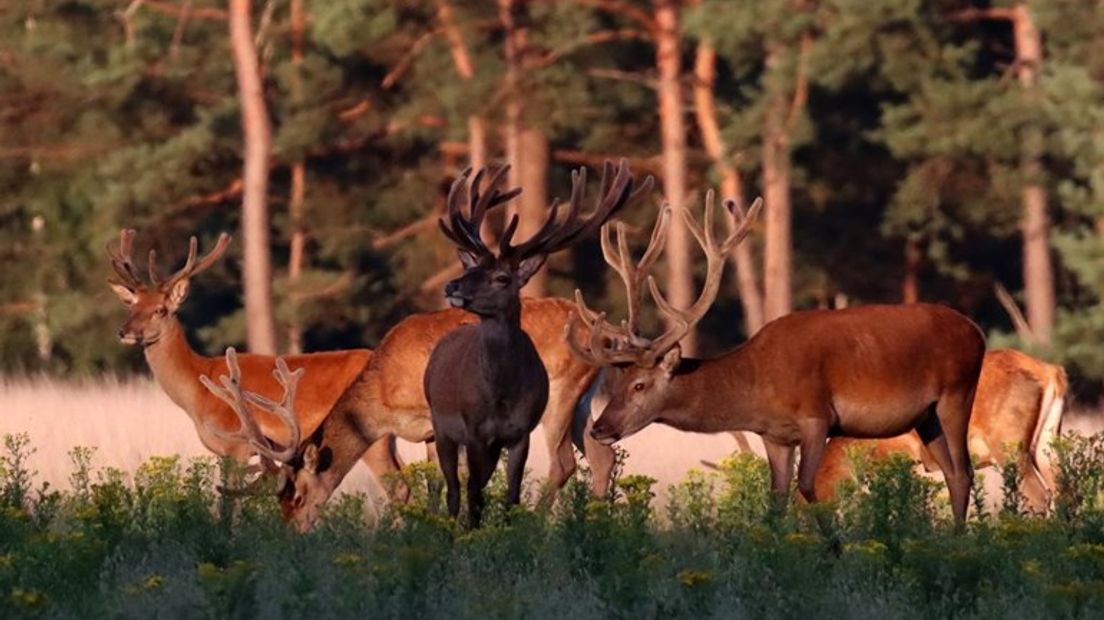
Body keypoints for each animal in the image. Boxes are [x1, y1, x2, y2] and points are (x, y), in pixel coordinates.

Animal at [104, 229, 401, 489]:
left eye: (160, 310)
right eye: (132, 306)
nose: (123, 332)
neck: (198, 389)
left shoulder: (237, 445)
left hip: (370, 434)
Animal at [421, 162, 644, 522]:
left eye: (502, 277)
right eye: (470, 269)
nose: (451, 286)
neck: (501, 393)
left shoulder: (520, 432)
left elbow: (510, 494)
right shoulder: (473, 430)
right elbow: (473, 492)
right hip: (442, 427)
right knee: (453, 488)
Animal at [569, 191, 984, 520]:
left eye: (640, 385)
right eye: (619, 382)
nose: (599, 428)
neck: (757, 383)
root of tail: (976, 331)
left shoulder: (817, 415)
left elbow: (808, 487)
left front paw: (835, 549)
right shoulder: (774, 435)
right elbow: (777, 499)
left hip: (957, 393)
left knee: (964, 472)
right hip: (926, 416)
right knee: (951, 472)